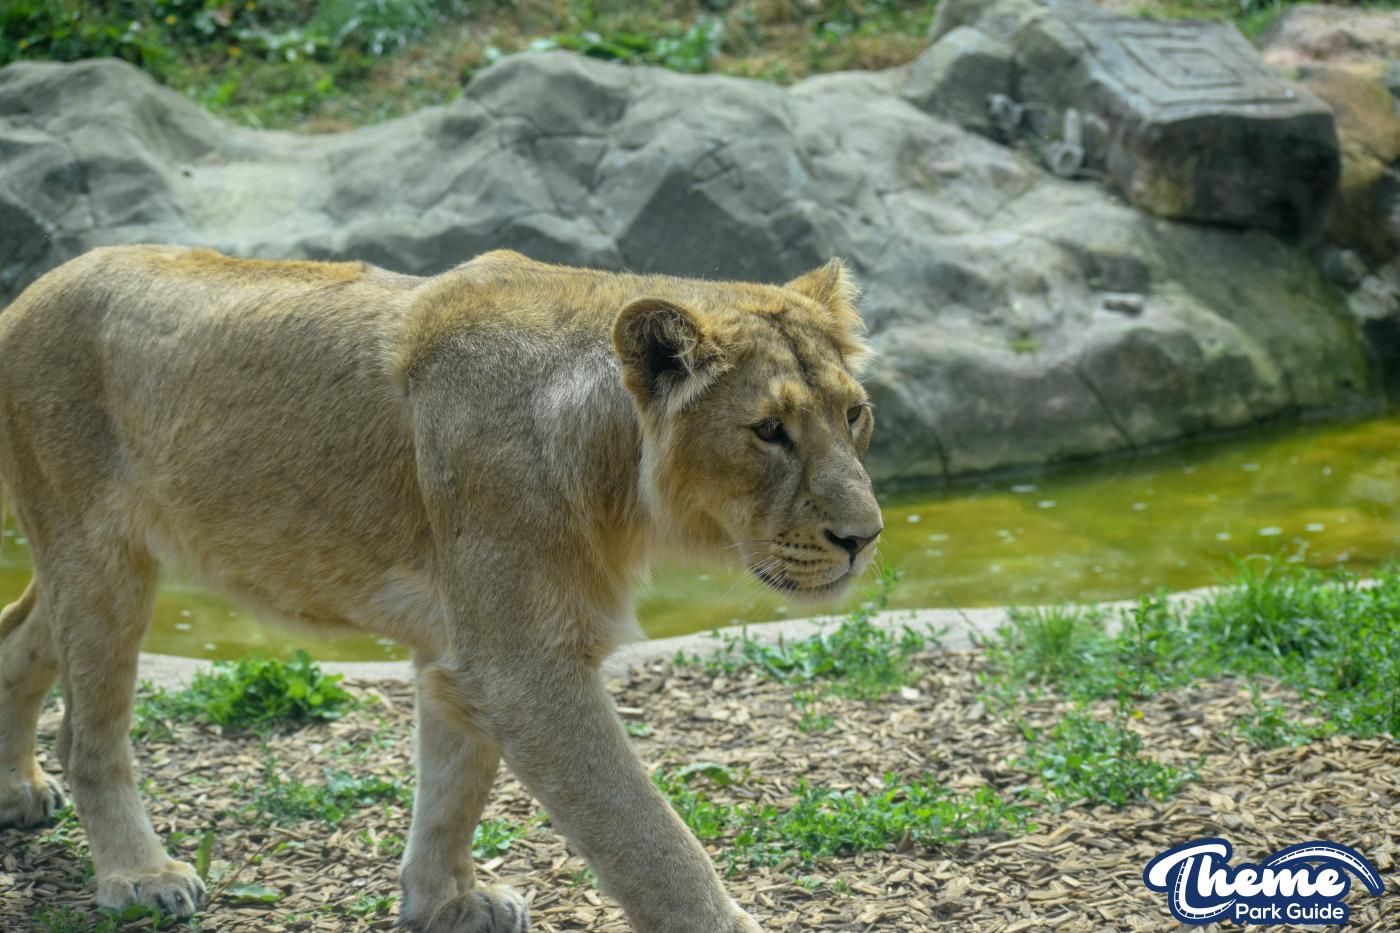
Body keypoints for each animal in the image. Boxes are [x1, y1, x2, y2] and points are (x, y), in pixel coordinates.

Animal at [0, 245, 882, 932]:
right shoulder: (523, 666)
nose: (864, 536)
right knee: (90, 732)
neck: (615, 472)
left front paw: (443, 899)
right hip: (97, 552)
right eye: (768, 430)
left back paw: (18, 791)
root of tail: (33, 288)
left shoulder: (462, 650)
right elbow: (643, 831)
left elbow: (455, 784)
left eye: (854, 414)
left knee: (18, 634)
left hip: (90, 562)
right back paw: (139, 875)